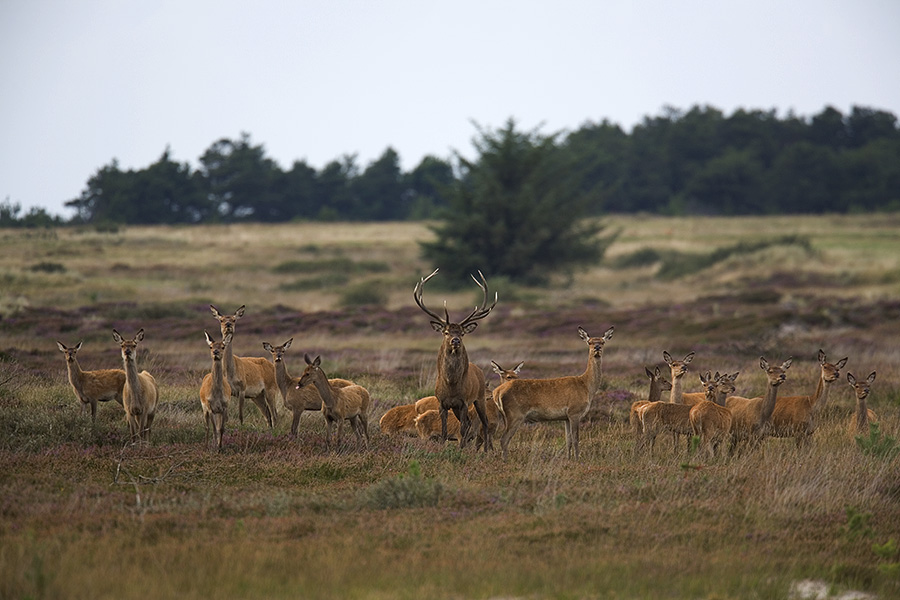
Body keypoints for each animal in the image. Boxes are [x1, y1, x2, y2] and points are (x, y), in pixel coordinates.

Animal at [414, 268, 496, 450]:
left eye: (462, 332)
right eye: (446, 332)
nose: (455, 340)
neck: (451, 385)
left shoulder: (464, 402)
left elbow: (464, 428)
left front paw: (461, 450)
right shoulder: (442, 403)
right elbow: (445, 430)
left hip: (479, 398)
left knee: (484, 422)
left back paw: (486, 450)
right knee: (470, 423)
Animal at [496, 324, 616, 460]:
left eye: (603, 341)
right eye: (589, 342)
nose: (597, 348)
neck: (586, 387)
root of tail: (497, 392)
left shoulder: (566, 417)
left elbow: (568, 440)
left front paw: (568, 459)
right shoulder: (575, 412)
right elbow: (576, 439)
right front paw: (577, 459)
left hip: (507, 416)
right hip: (515, 414)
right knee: (504, 439)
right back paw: (505, 460)